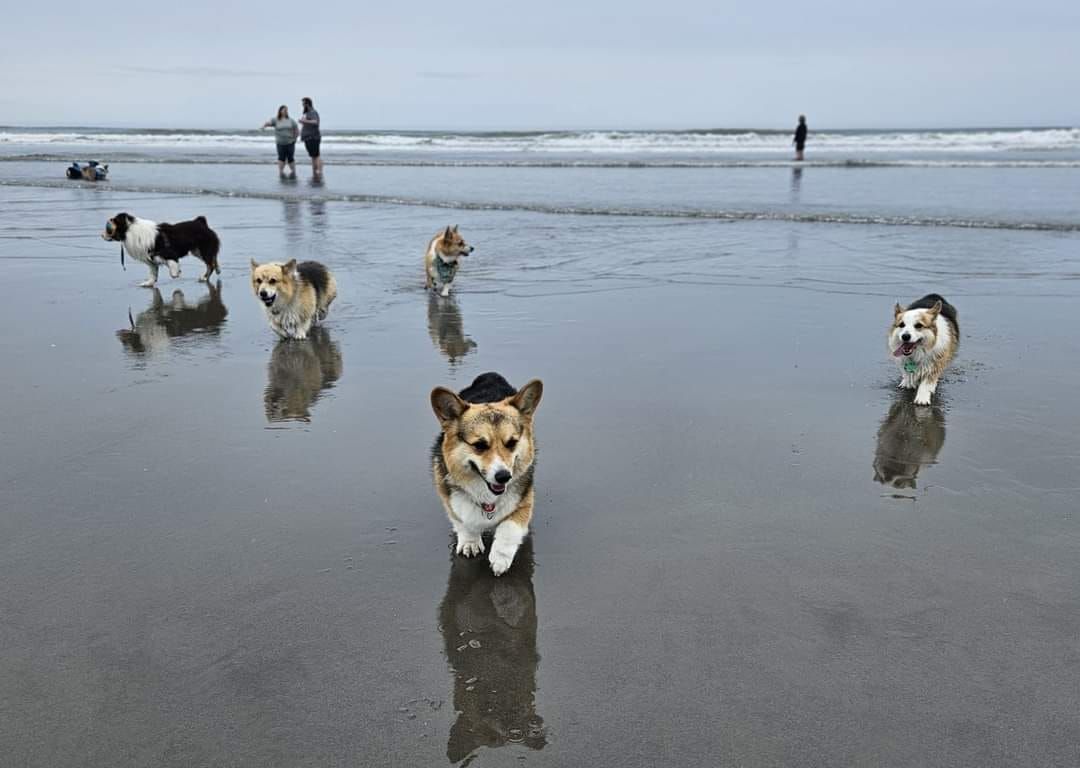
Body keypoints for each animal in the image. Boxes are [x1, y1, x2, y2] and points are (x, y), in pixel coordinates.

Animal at [429, 371, 544, 578]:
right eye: (479, 445)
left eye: (512, 442)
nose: (504, 476)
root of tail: (490, 375)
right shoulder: (448, 497)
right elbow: (462, 520)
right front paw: (470, 542)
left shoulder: (525, 500)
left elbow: (510, 526)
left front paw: (500, 557)